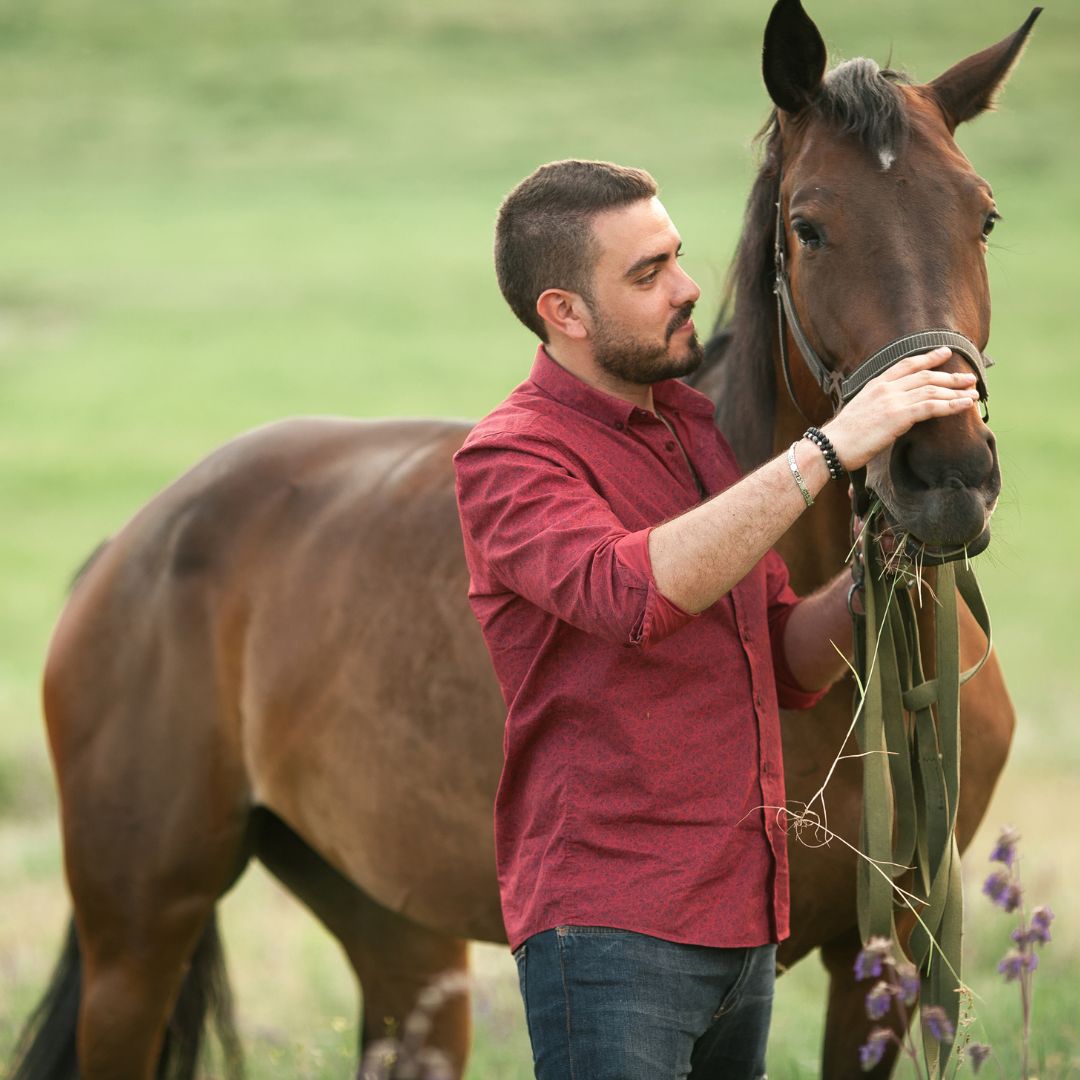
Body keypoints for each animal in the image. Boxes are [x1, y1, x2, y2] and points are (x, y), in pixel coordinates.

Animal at [11, 1, 1038, 1077]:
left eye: (983, 216)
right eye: (809, 225)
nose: (945, 473)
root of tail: (132, 545)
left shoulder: (887, 957)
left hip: (401, 940)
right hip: (137, 942)